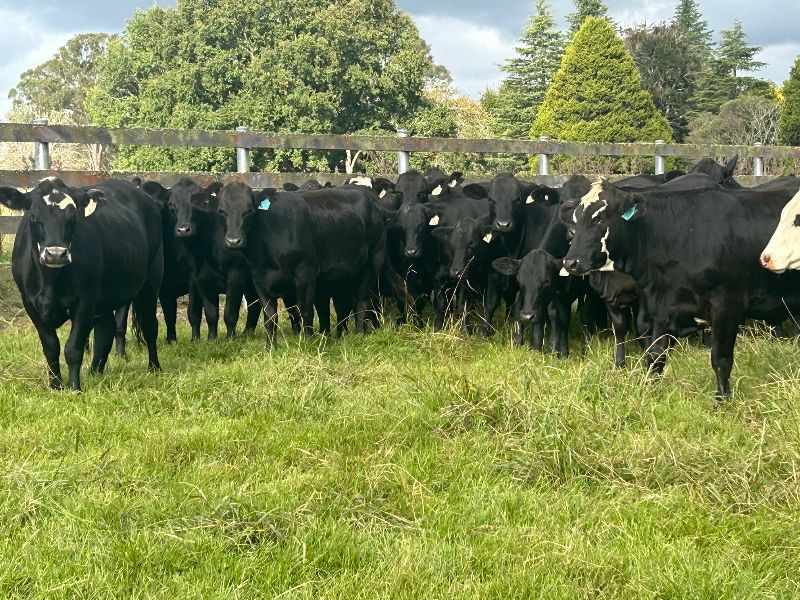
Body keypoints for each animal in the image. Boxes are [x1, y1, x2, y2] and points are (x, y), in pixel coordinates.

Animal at [0, 178, 163, 391]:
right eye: (33, 216)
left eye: (73, 217)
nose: (56, 254)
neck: (50, 281)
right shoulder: (29, 303)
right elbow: (51, 346)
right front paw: (56, 386)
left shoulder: (85, 300)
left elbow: (73, 348)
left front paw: (74, 388)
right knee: (106, 330)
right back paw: (95, 372)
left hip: (151, 280)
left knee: (150, 326)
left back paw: (154, 367)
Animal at [217, 182, 387, 344]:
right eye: (222, 211)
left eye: (249, 211)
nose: (233, 240)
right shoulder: (259, 279)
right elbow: (270, 316)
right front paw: (270, 347)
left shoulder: (306, 272)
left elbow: (305, 310)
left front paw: (308, 342)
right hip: (343, 273)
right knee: (341, 305)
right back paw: (337, 335)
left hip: (373, 261)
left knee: (362, 299)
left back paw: (358, 334)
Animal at [561, 177, 800, 398]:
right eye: (575, 220)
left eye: (599, 218)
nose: (570, 262)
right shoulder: (663, 307)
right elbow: (655, 356)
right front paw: (648, 392)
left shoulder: (727, 306)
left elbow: (720, 359)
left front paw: (722, 401)